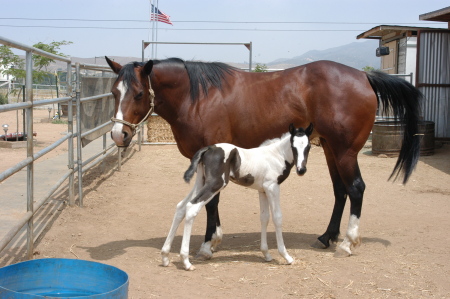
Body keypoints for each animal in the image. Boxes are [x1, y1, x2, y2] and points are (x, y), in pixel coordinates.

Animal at [162, 123, 312, 270]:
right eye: (293, 146)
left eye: (308, 147)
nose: (301, 170)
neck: (276, 155)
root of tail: (208, 148)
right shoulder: (272, 187)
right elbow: (277, 218)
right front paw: (286, 256)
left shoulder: (263, 190)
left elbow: (264, 218)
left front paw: (266, 254)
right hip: (215, 184)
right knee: (191, 208)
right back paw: (186, 262)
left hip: (201, 182)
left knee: (181, 207)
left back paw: (165, 256)